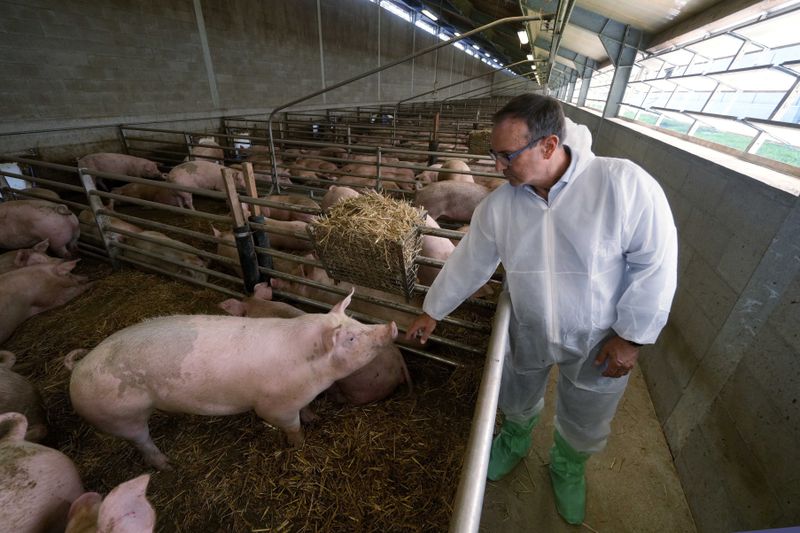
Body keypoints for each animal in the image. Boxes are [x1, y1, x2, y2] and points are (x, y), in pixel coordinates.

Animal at [65, 290, 396, 470]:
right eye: (350, 338)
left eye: (354, 320)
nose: (391, 325)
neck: (313, 371)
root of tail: (78, 367)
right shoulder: (275, 407)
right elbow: (291, 427)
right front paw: (301, 446)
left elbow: (307, 411)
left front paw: (315, 419)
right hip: (120, 416)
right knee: (142, 442)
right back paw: (168, 465)